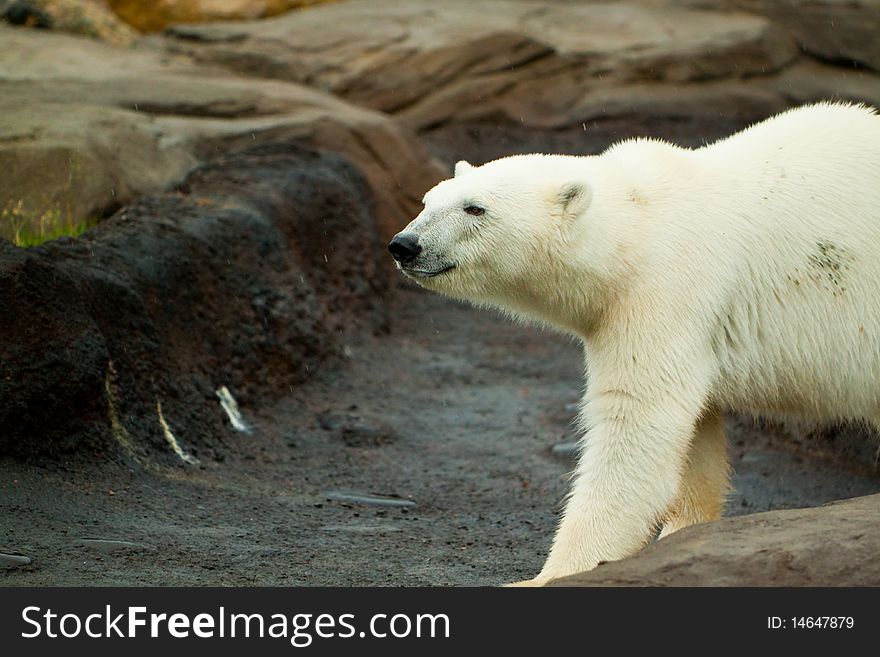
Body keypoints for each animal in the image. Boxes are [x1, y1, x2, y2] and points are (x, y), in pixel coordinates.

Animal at [388, 102, 880, 584]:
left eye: (475, 208)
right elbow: (694, 434)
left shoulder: (665, 291)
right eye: (428, 199)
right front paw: (683, 536)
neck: (637, 225)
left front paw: (553, 573)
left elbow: (636, 425)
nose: (405, 244)